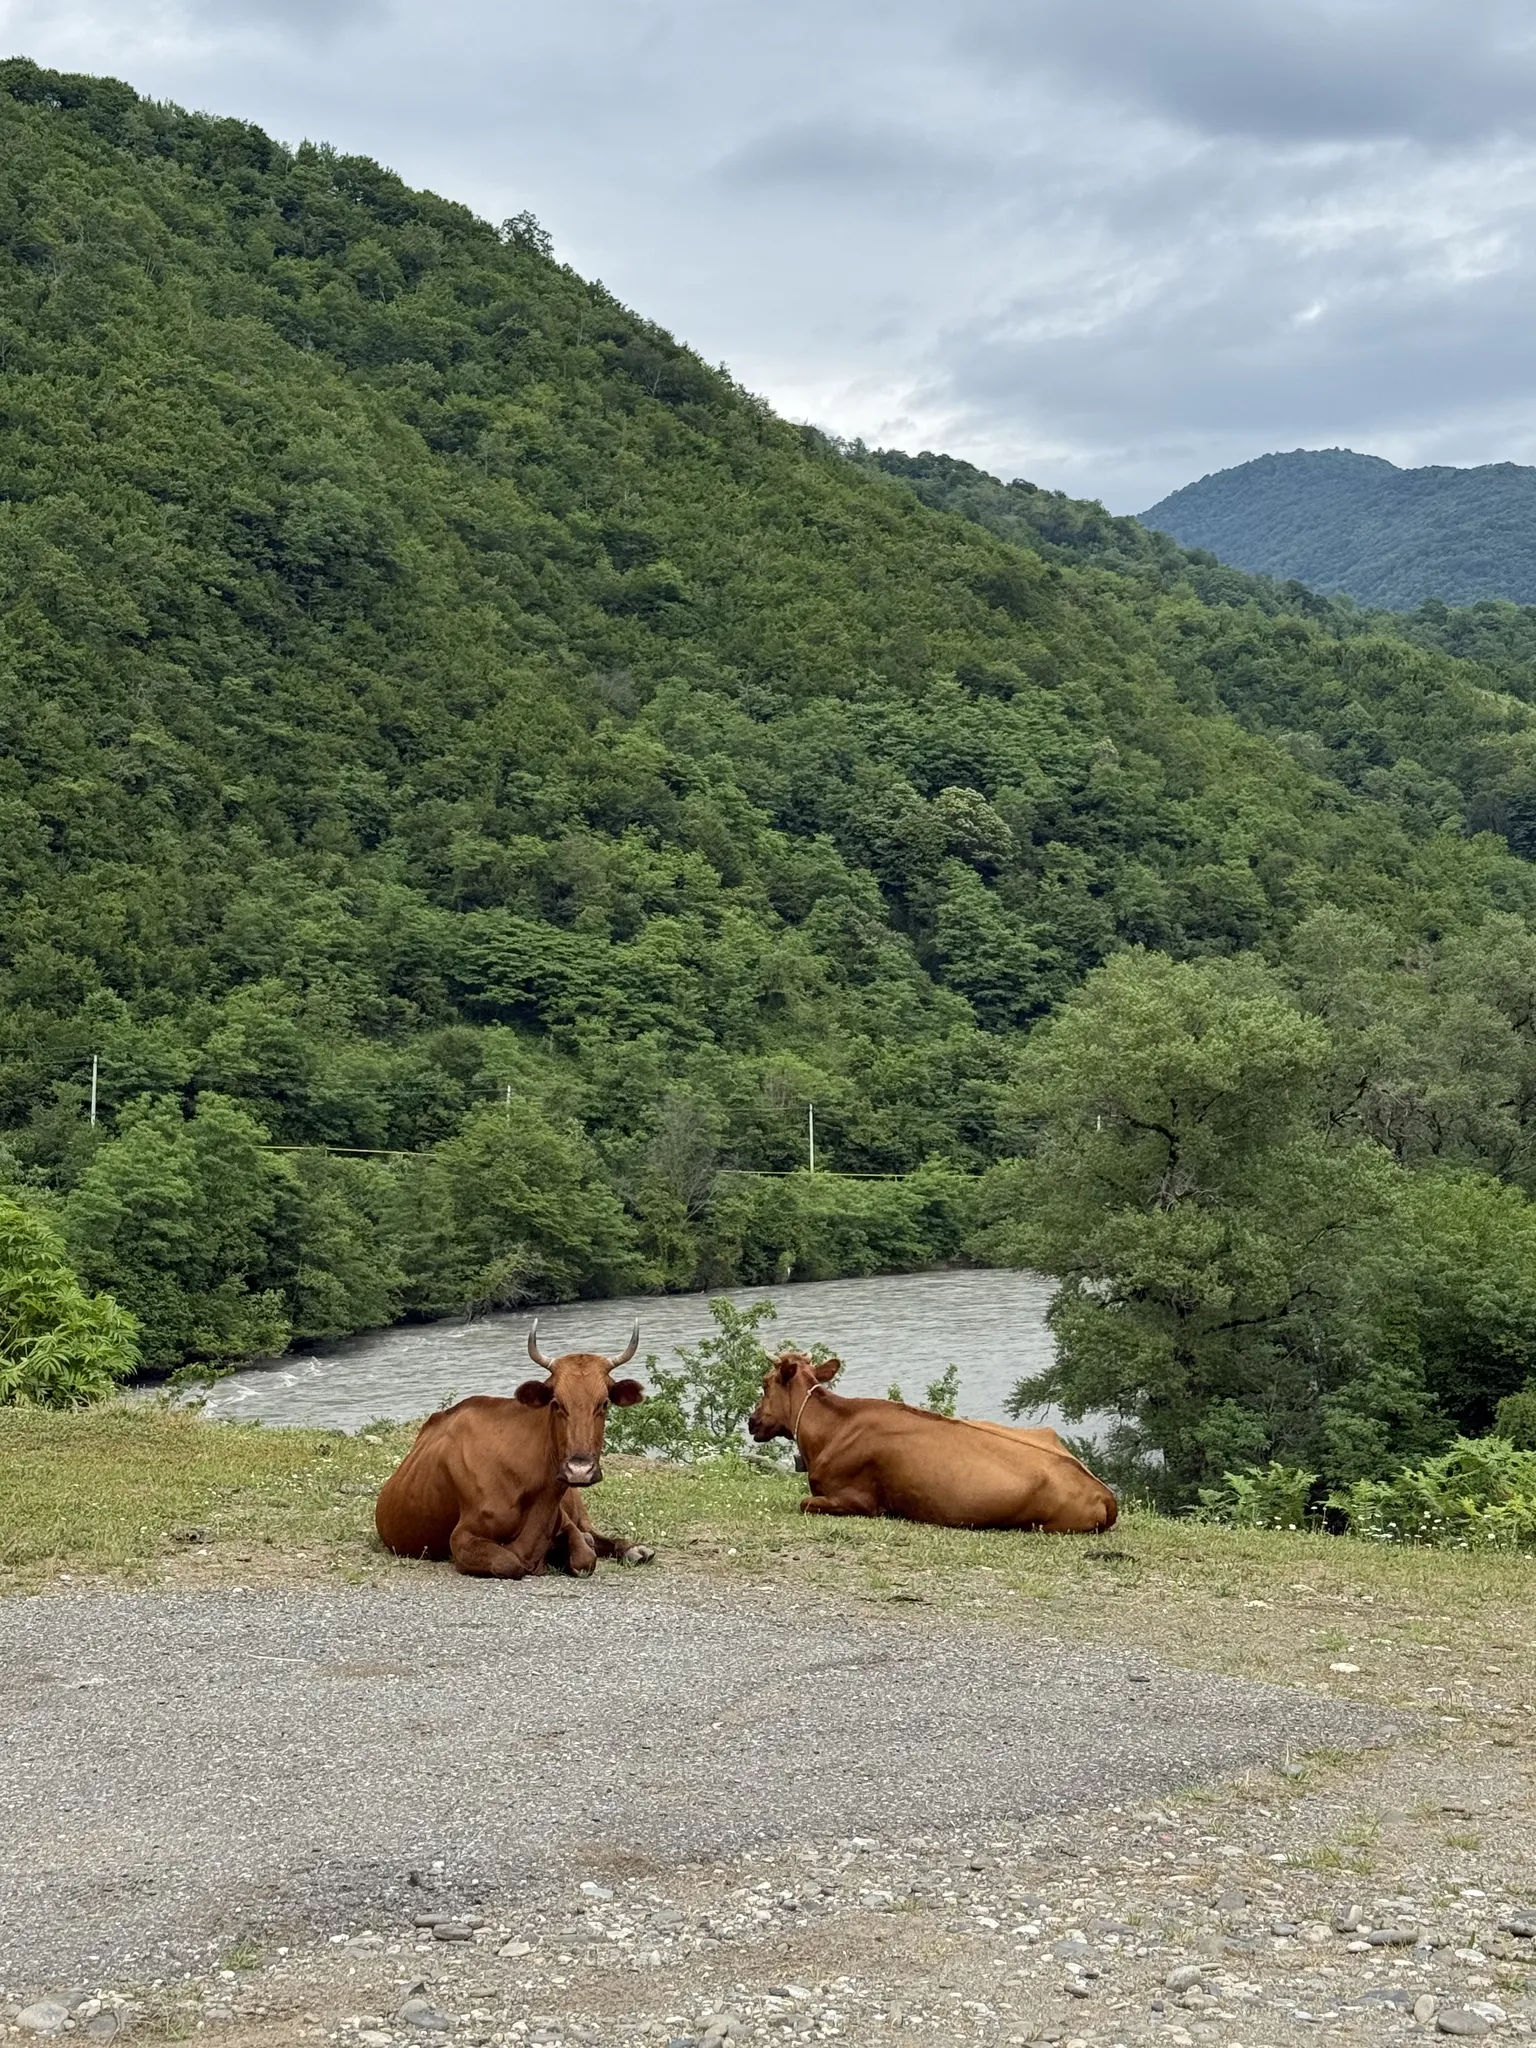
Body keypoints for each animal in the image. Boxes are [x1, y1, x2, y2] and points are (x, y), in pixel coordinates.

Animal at [375, 1320, 655, 1577]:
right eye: (556, 1403)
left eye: (604, 1403)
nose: (579, 1470)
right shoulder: (462, 1537)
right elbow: (509, 1562)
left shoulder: (564, 1521)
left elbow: (585, 1558)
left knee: (592, 1533)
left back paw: (635, 1549)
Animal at [747, 1351, 1117, 1534]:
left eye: (765, 1383)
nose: (752, 1421)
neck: (832, 1429)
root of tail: (1105, 1492)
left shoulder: (858, 1500)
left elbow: (805, 1503)